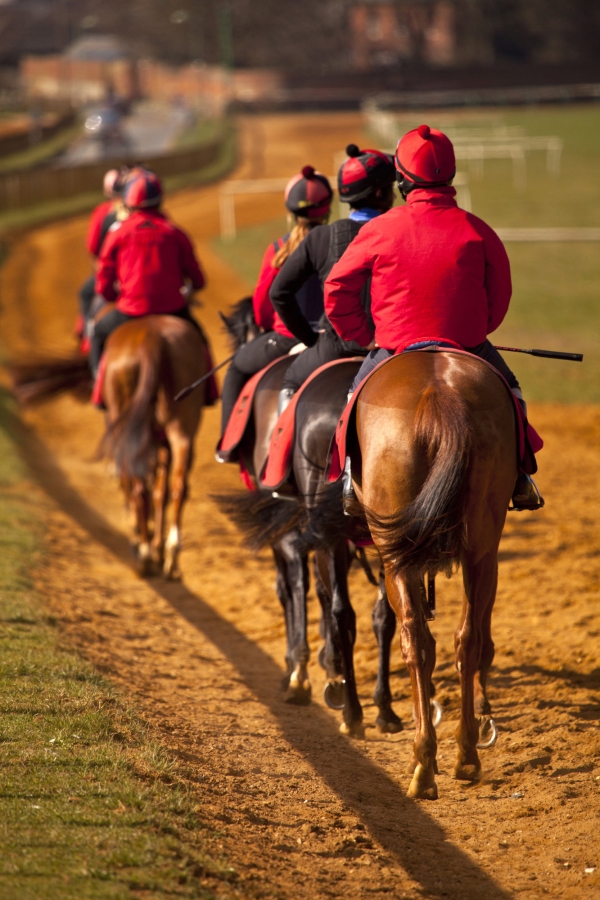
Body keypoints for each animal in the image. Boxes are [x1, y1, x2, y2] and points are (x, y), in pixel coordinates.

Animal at [352, 348, 516, 800]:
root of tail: (439, 394)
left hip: (396, 557)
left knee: (418, 640)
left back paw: (424, 763)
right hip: (481, 550)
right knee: (466, 639)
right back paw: (465, 755)